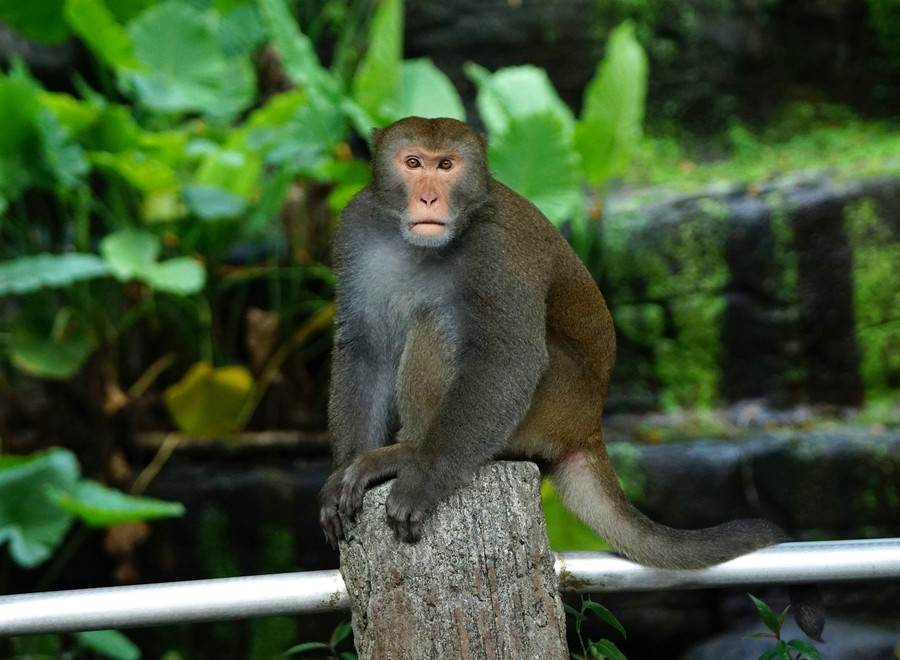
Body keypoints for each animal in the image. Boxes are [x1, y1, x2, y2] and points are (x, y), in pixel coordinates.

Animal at [320, 116, 828, 640]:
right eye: (413, 162)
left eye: (446, 166)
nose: (426, 198)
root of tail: (589, 423)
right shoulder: (357, 227)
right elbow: (362, 348)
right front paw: (342, 473)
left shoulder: (497, 249)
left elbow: (508, 357)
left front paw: (424, 474)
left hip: (553, 403)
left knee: (441, 323)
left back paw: (408, 451)